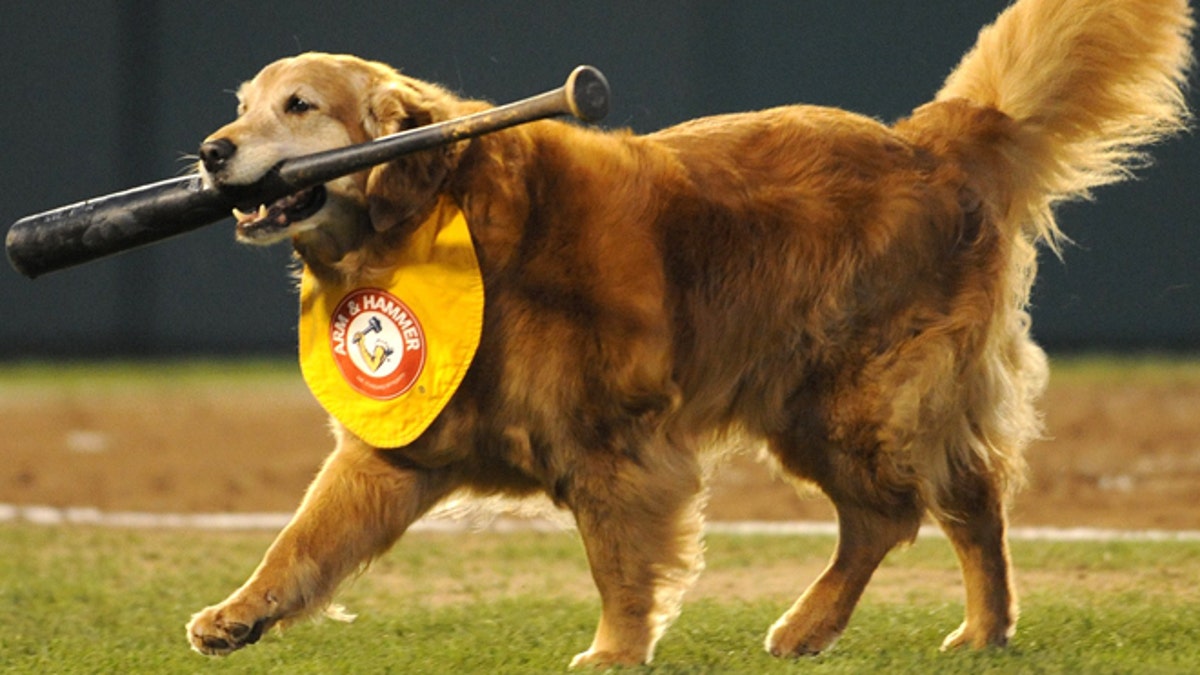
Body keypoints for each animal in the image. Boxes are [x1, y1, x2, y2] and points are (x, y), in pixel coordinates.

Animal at [184, 0, 1190, 662]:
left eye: (300, 106)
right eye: (241, 104)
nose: (210, 151)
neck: (442, 207)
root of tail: (930, 140)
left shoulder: (612, 444)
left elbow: (619, 565)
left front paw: (616, 652)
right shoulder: (393, 452)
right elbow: (302, 538)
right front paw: (242, 611)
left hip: (861, 400)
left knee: (928, 505)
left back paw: (937, 624)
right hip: (814, 408)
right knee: (927, 509)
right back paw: (887, 627)